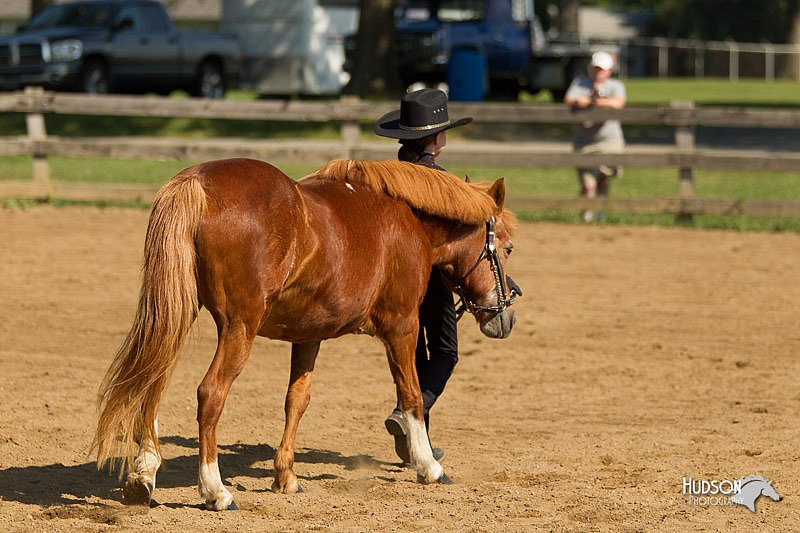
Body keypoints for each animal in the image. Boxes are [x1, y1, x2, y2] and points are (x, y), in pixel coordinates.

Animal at [94, 157, 520, 508]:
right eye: (507, 248)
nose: (507, 313)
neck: (406, 218)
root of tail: (196, 182)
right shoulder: (402, 325)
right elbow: (411, 395)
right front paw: (428, 465)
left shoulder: (308, 335)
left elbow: (296, 400)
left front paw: (286, 475)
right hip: (238, 327)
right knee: (209, 394)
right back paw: (216, 490)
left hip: (178, 312)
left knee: (151, 381)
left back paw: (143, 475)